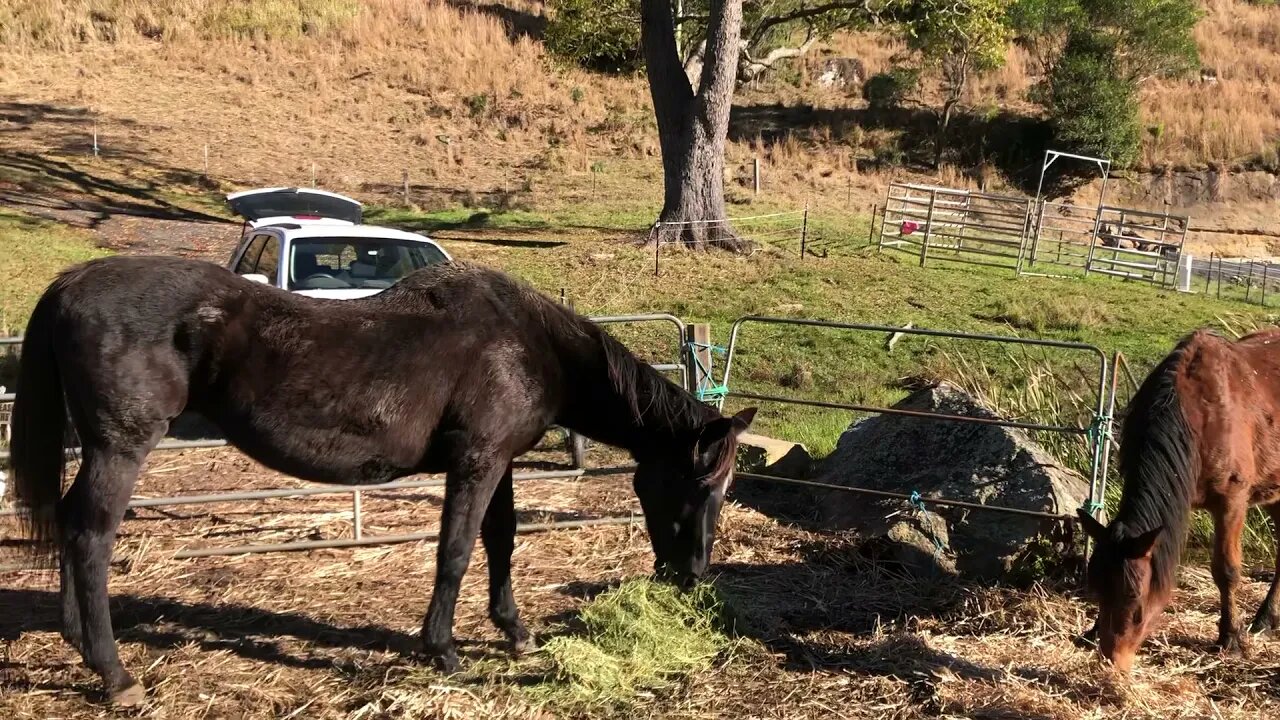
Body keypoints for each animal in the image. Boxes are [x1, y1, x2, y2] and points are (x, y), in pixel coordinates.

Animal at [10, 256, 752, 702]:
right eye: (701, 486)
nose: (693, 575)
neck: (528, 346)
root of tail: (73, 282)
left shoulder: (499, 462)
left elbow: (502, 542)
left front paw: (514, 631)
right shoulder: (477, 461)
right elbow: (456, 551)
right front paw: (443, 649)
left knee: (73, 527)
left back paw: (78, 643)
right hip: (120, 449)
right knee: (91, 537)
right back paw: (115, 674)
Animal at [1080, 327, 1280, 671]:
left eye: (1137, 607)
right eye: (1098, 591)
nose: (1113, 660)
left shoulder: (1232, 501)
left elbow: (1226, 570)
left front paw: (1231, 639)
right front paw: (1092, 631)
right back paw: (1268, 619)